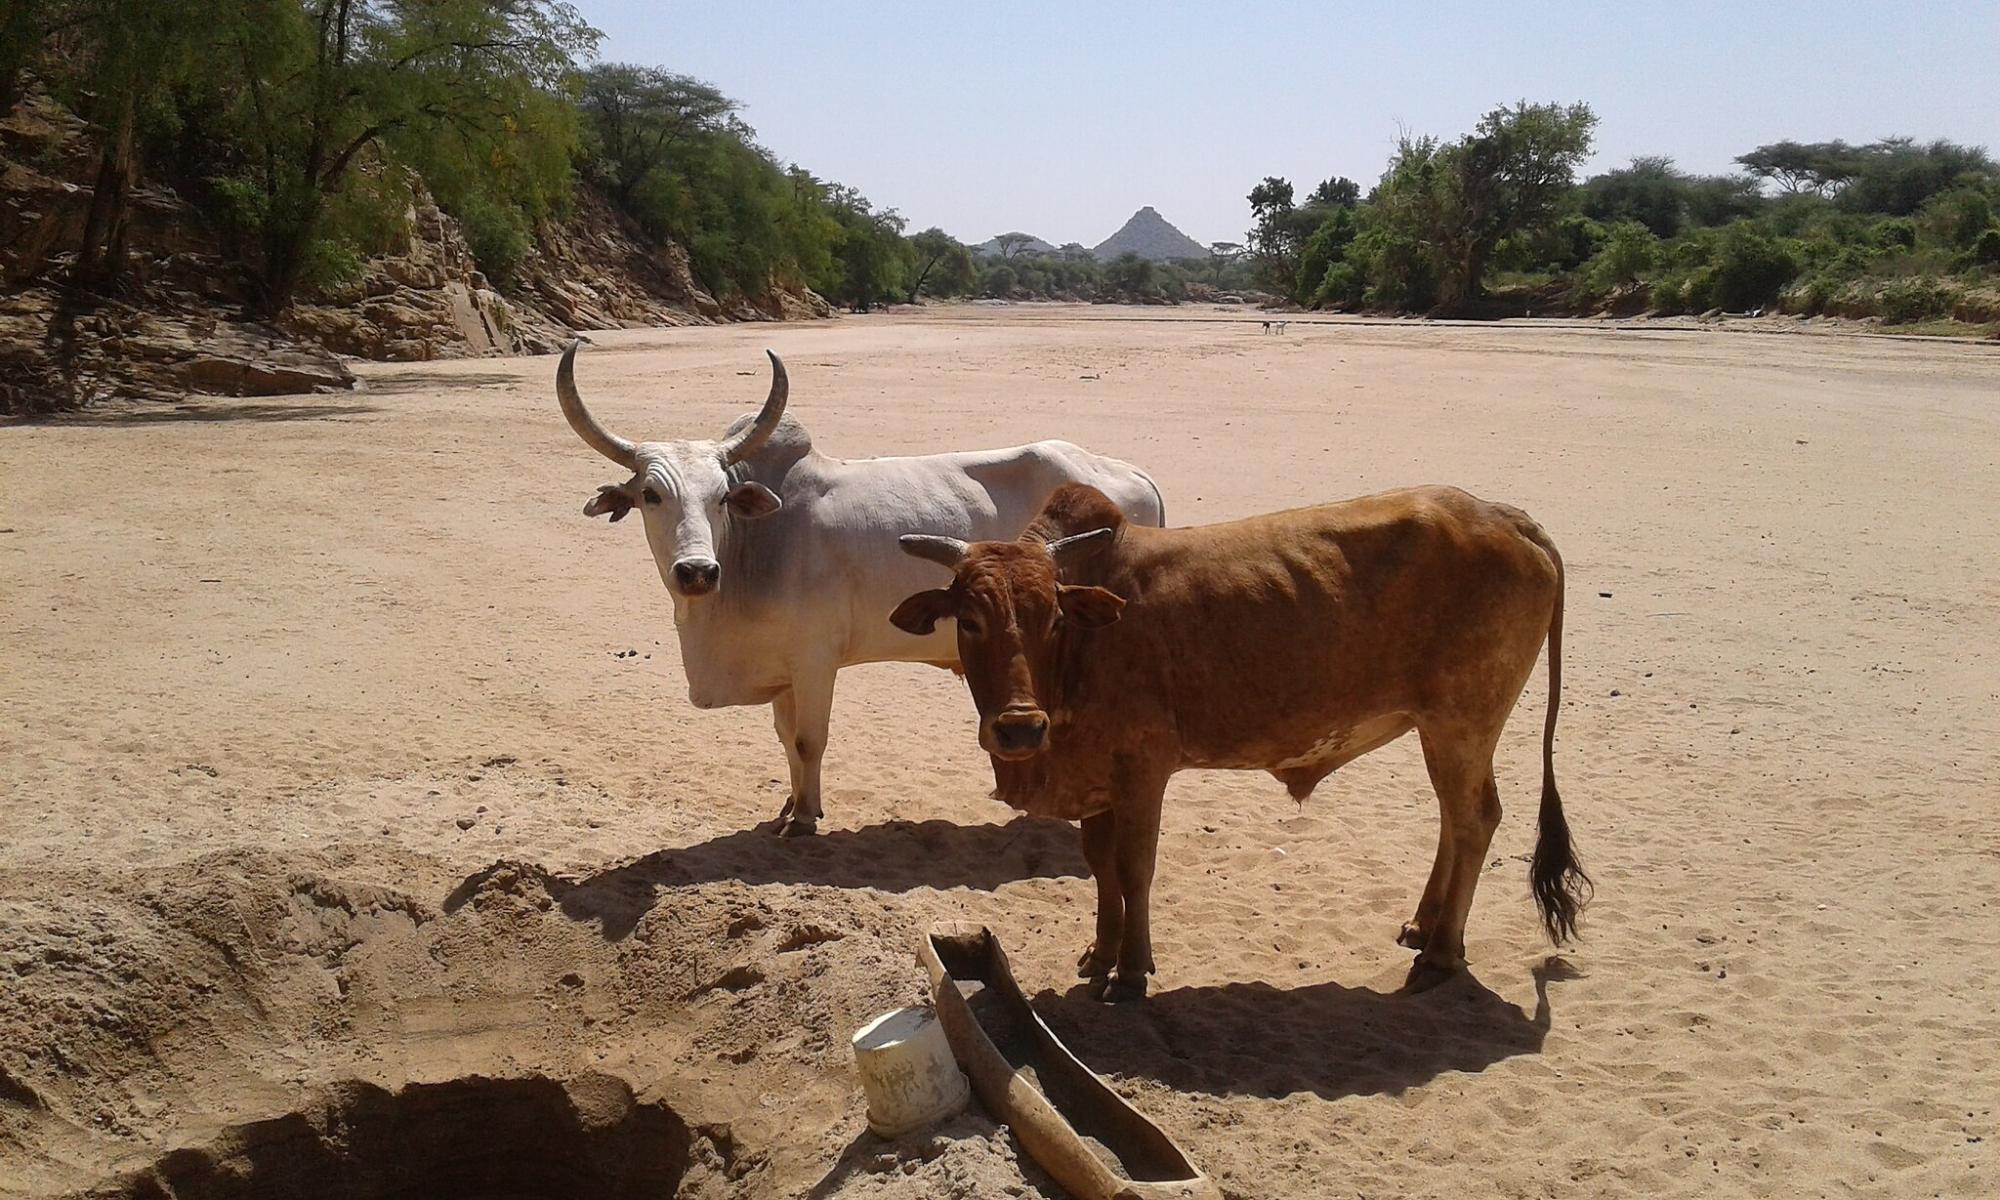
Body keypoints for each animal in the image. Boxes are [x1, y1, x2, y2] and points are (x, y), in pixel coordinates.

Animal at [557, 343, 1165, 836]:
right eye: (651, 495)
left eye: (721, 497)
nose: (697, 572)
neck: (750, 550)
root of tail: (1132, 475)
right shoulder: (783, 674)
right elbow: (786, 741)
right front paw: (791, 805)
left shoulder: (815, 661)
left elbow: (809, 740)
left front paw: (805, 820)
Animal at [889, 483, 1587, 1001]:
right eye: (969, 620)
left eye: (1054, 617)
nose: (1019, 727)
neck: (1082, 653)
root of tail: (1508, 516)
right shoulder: (1099, 784)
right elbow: (1101, 868)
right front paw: (1100, 953)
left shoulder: (1144, 769)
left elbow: (1134, 868)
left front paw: (1132, 971)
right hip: (1443, 730)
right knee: (1454, 819)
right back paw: (1424, 925)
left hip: (1462, 723)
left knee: (1475, 819)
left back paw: (1441, 954)